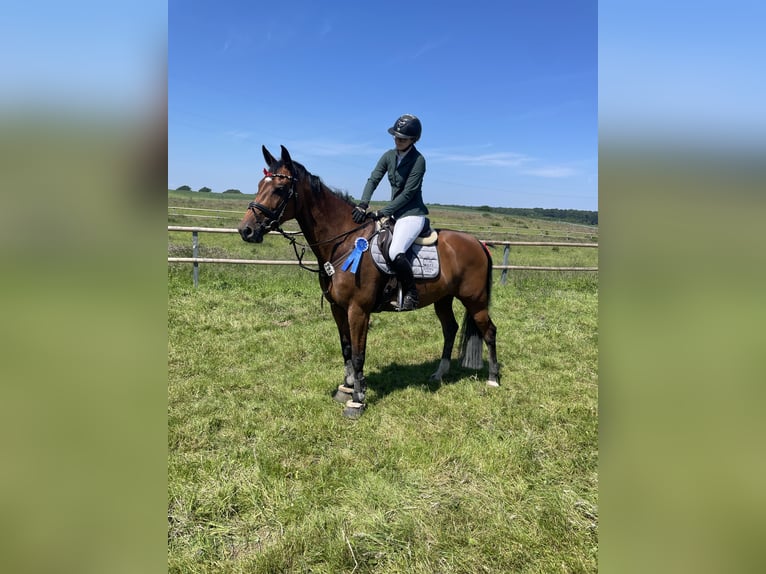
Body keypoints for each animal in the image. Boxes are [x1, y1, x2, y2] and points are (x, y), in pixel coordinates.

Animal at [238, 145, 499, 418]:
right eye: (260, 184)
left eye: (279, 189)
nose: (245, 230)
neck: (343, 242)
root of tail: (478, 243)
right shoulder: (338, 308)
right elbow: (346, 349)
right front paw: (346, 387)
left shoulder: (358, 310)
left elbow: (359, 354)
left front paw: (357, 399)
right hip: (444, 300)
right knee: (450, 329)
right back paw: (439, 374)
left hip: (475, 300)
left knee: (489, 331)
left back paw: (493, 379)